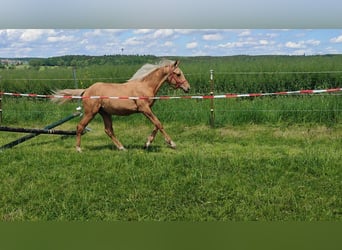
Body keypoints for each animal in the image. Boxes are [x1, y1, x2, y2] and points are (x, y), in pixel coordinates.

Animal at [54, 59, 191, 151]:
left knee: (108, 130)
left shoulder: (147, 110)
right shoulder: (144, 109)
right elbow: (158, 123)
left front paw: (147, 143)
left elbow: (156, 125)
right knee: (80, 126)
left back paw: (122, 148)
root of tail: (86, 90)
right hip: (90, 112)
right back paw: (78, 149)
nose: (188, 88)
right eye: (178, 74)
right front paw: (172, 143)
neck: (145, 86)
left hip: (105, 113)